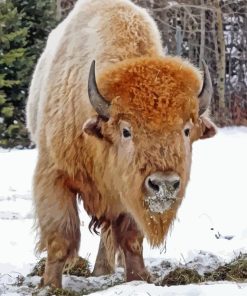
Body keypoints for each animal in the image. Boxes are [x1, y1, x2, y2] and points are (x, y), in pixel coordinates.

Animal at [26, 0, 216, 290]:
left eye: (186, 130)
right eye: (126, 131)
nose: (164, 184)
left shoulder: (129, 192)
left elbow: (130, 239)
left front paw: (137, 278)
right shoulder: (54, 176)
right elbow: (61, 238)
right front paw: (49, 286)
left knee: (107, 235)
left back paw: (102, 270)